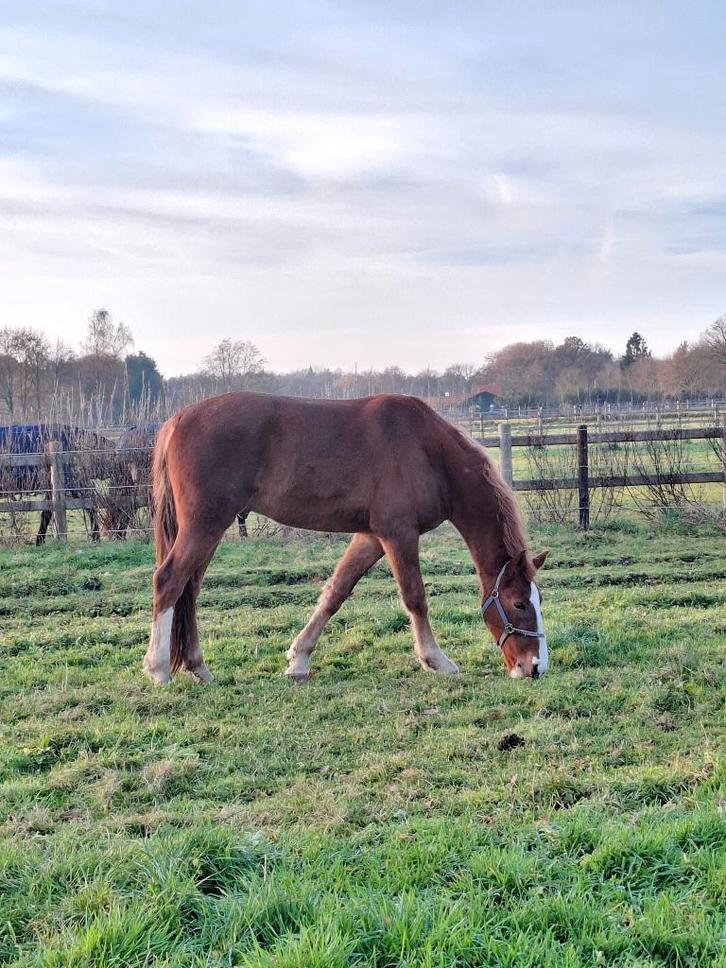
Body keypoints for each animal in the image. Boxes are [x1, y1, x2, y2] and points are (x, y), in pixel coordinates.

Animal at [144, 392, 549, 685]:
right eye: (518, 604)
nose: (535, 667)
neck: (430, 452)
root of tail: (178, 420)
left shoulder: (370, 537)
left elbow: (336, 592)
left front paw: (299, 659)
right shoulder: (398, 534)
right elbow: (415, 598)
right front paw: (436, 660)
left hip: (208, 530)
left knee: (189, 590)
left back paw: (197, 666)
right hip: (204, 526)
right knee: (169, 581)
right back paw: (159, 669)